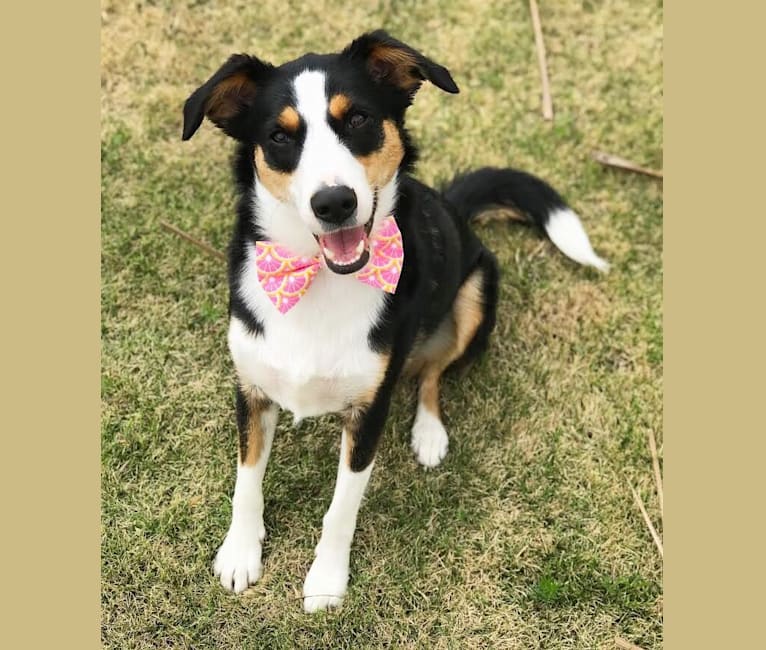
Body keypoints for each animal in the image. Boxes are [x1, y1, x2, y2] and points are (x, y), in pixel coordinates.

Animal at [183, 29, 608, 608]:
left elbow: (341, 508)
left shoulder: (370, 412)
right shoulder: (250, 389)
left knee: (432, 373)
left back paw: (429, 433)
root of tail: (454, 207)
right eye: (279, 136)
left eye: (359, 119)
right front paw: (240, 553)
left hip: (476, 295)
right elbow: (246, 480)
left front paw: (326, 581)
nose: (334, 203)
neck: (320, 280)